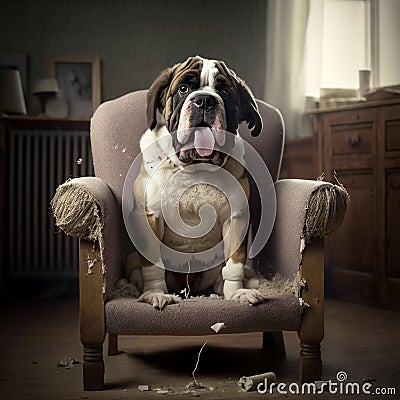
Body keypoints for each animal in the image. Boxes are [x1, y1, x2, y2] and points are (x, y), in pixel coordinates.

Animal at [126, 55, 268, 310]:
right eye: (184, 89)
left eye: (224, 91)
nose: (204, 100)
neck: (196, 167)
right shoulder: (149, 217)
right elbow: (152, 267)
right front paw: (156, 293)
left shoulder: (236, 218)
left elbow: (234, 264)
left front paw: (236, 293)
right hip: (132, 257)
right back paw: (131, 289)